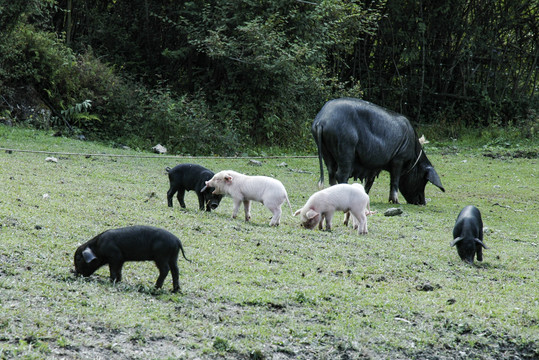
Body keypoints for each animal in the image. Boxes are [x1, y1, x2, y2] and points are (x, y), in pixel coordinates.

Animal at [314, 98, 446, 205]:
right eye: (424, 180)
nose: (423, 202)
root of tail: (321, 120)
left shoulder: (373, 166)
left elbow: (370, 181)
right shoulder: (399, 158)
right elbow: (394, 180)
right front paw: (396, 202)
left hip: (327, 152)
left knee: (331, 173)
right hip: (345, 148)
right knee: (341, 174)